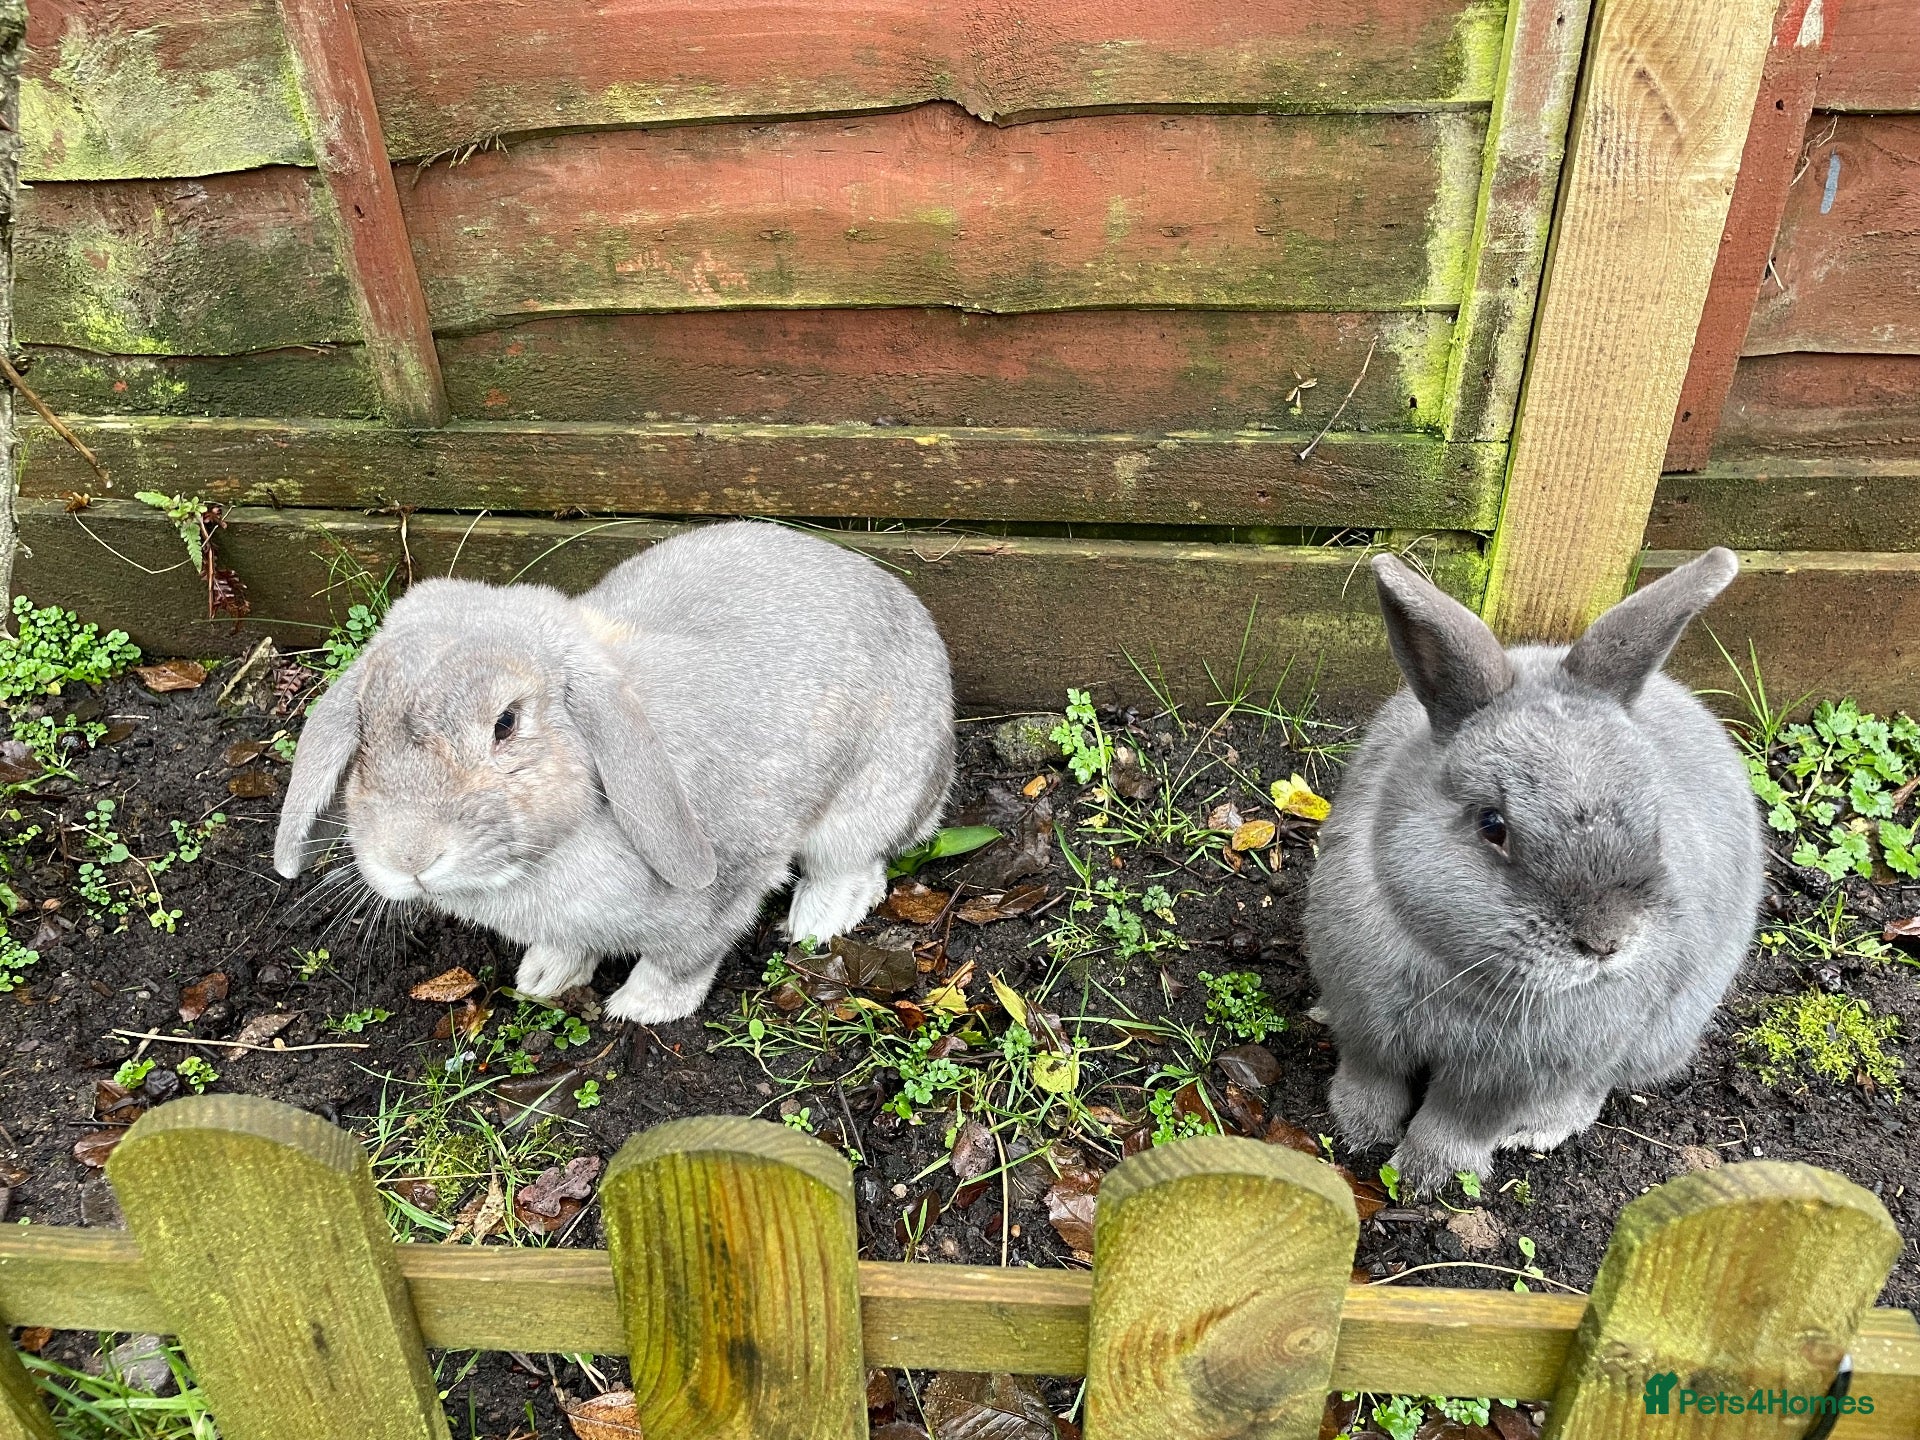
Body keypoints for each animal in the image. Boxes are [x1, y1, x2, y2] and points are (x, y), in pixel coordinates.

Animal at [273, 521, 954, 1023]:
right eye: (364, 730)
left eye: (506, 723)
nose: (408, 857)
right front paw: (544, 977)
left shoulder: (725, 893)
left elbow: (684, 960)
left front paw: (640, 1008)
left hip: (868, 801)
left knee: (856, 867)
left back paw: (817, 921)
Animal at [1304, 547, 1763, 1195]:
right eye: (1493, 825)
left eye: (1654, 819)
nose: (1606, 942)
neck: (1460, 971)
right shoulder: (1366, 1025)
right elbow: (1371, 1077)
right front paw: (1358, 1130)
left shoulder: (1504, 1080)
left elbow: (1456, 1123)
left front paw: (1425, 1176)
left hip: (1658, 1029)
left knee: (1597, 1087)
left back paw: (1540, 1131)